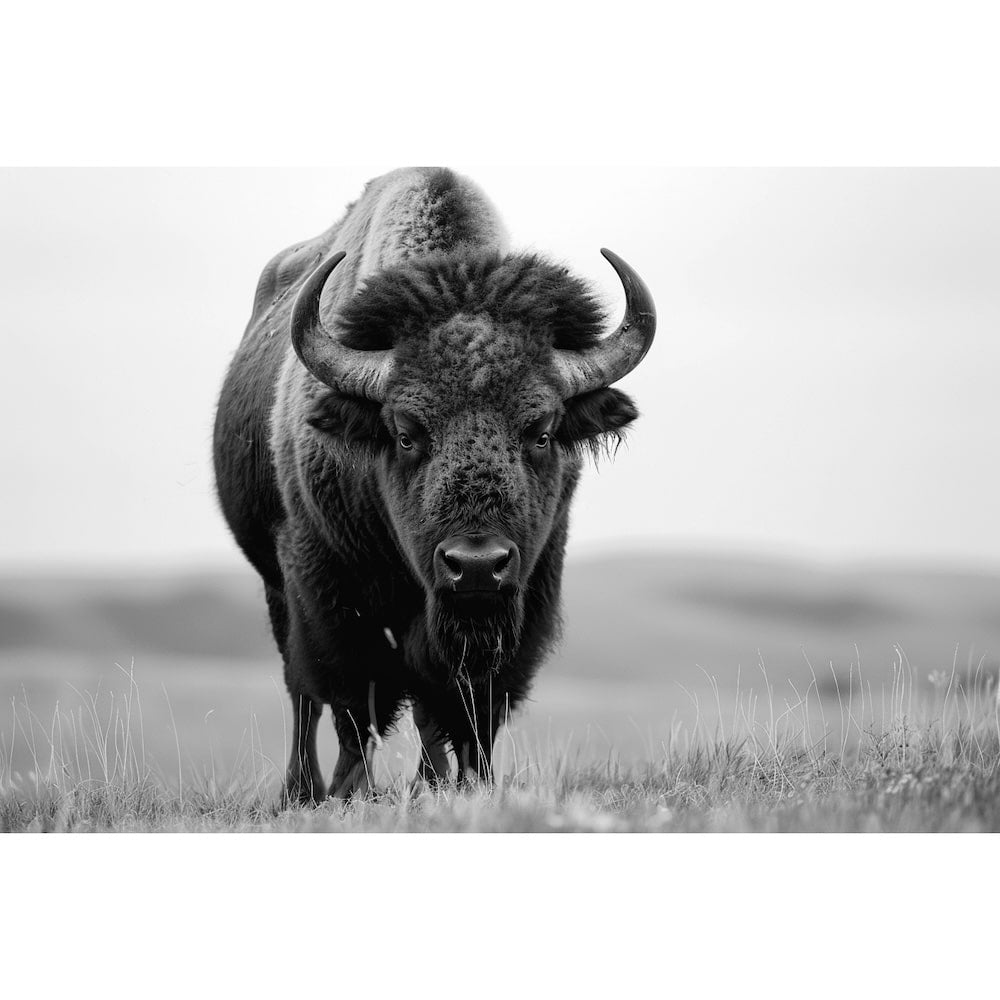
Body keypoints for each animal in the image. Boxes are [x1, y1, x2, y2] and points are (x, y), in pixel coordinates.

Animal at [213, 168, 656, 802]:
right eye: (404, 433)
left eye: (542, 431)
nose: (476, 565)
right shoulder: (326, 588)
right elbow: (353, 702)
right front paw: (351, 792)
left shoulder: (522, 596)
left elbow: (468, 707)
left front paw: (466, 784)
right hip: (277, 586)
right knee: (304, 696)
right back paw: (304, 789)